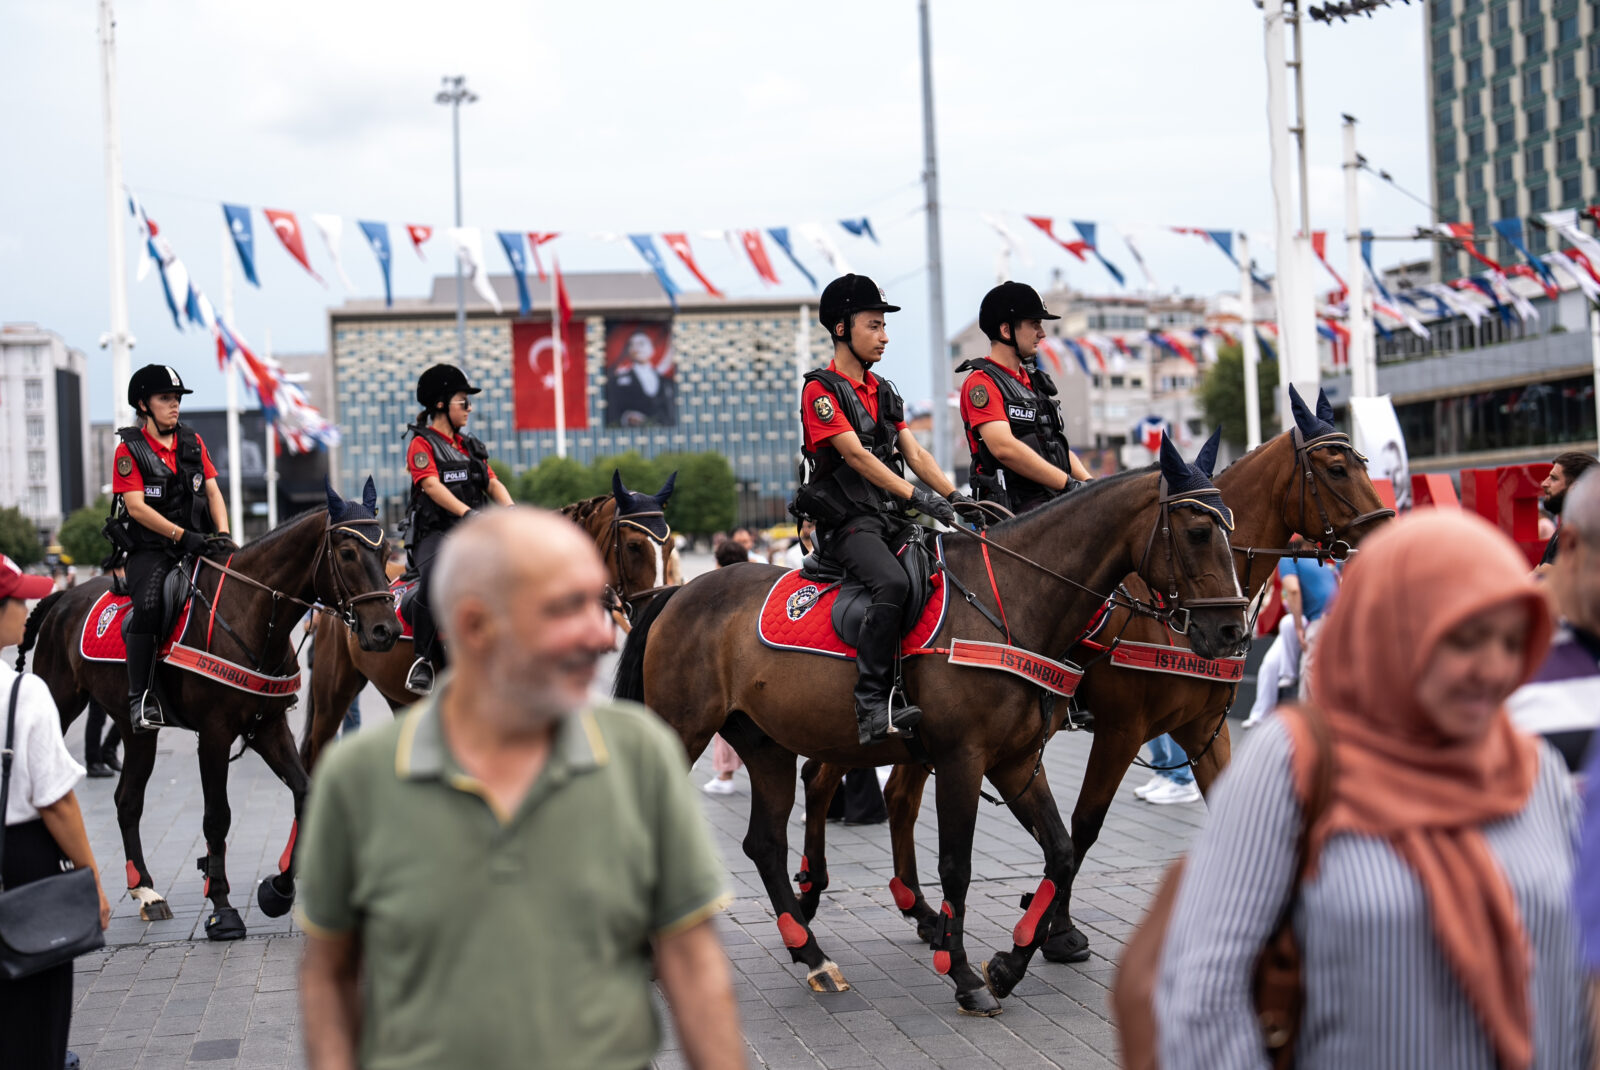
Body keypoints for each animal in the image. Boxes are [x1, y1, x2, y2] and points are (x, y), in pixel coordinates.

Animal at [16, 479, 400, 940]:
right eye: (346, 553)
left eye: (385, 551)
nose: (386, 630)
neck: (251, 612)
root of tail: (62, 598)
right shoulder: (215, 734)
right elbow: (217, 817)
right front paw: (222, 908)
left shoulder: (268, 726)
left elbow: (305, 794)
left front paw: (278, 890)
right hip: (57, 702)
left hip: (136, 729)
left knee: (127, 801)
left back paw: (145, 890)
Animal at [611, 438, 1248, 1017]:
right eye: (1198, 532)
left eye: (1231, 528)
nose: (1233, 631)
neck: (1010, 600)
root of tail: (678, 592)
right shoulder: (967, 759)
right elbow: (956, 866)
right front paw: (963, 973)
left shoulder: (1016, 760)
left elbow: (1063, 850)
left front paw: (1010, 962)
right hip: (683, 731)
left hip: (767, 745)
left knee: (765, 842)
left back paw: (811, 952)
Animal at [796, 383, 1388, 978]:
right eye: (1338, 469)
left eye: (1364, 463)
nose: (1388, 530)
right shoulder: (1121, 730)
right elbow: (1082, 828)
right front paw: (1053, 931)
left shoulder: (1204, 729)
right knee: (824, 779)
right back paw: (813, 899)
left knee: (891, 794)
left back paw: (913, 909)